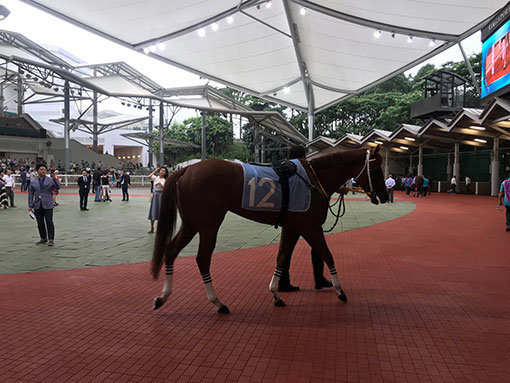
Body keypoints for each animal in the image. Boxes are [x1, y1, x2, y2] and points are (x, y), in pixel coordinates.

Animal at [149, 148, 388, 316]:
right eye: (377, 169)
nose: (385, 195)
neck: (314, 178)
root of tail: (187, 169)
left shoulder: (292, 227)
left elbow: (282, 257)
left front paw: (276, 294)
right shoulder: (310, 227)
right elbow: (327, 254)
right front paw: (340, 291)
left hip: (191, 224)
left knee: (171, 251)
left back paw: (162, 297)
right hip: (209, 225)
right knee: (202, 259)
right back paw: (218, 303)